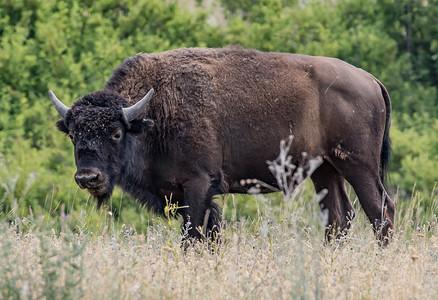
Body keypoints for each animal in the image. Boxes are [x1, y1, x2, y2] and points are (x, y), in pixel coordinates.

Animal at [49, 46, 396, 241]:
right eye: (73, 134)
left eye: (116, 133)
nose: (88, 177)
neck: (151, 114)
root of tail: (371, 80)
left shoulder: (198, 184)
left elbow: (194, 236)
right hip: (324, 169)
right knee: (339, 218)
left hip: (358, 165)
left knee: (380, 210)